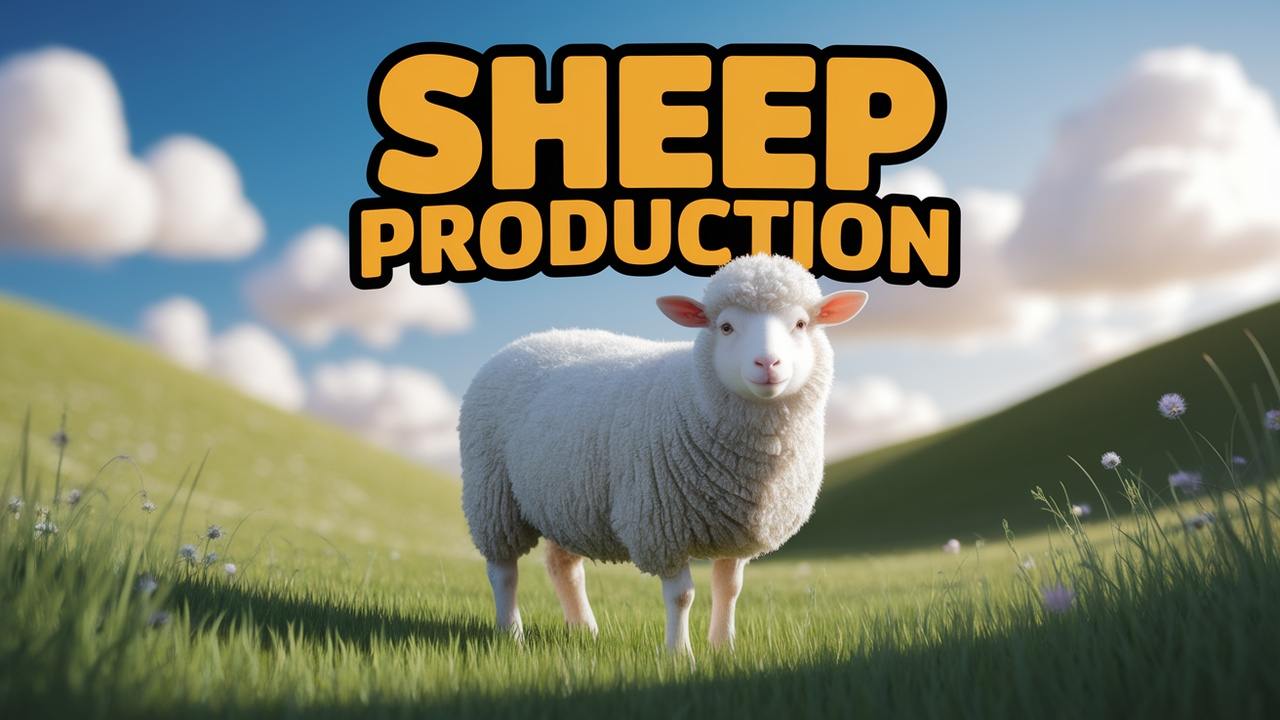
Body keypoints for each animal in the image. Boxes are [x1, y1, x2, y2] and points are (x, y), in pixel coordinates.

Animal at [458, 254, 868, 654]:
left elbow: (729, 589)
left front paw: (724, 648)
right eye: (725, 327)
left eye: (800, 323)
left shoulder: (738, 528)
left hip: (563, 500)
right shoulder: (660, 526)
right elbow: (682, 596)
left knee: (563, 566)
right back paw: (512, 632)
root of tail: (526, 340)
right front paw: (679, 654)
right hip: (492, 496)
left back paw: (586, 630)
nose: (767, 364)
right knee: (503, 571)